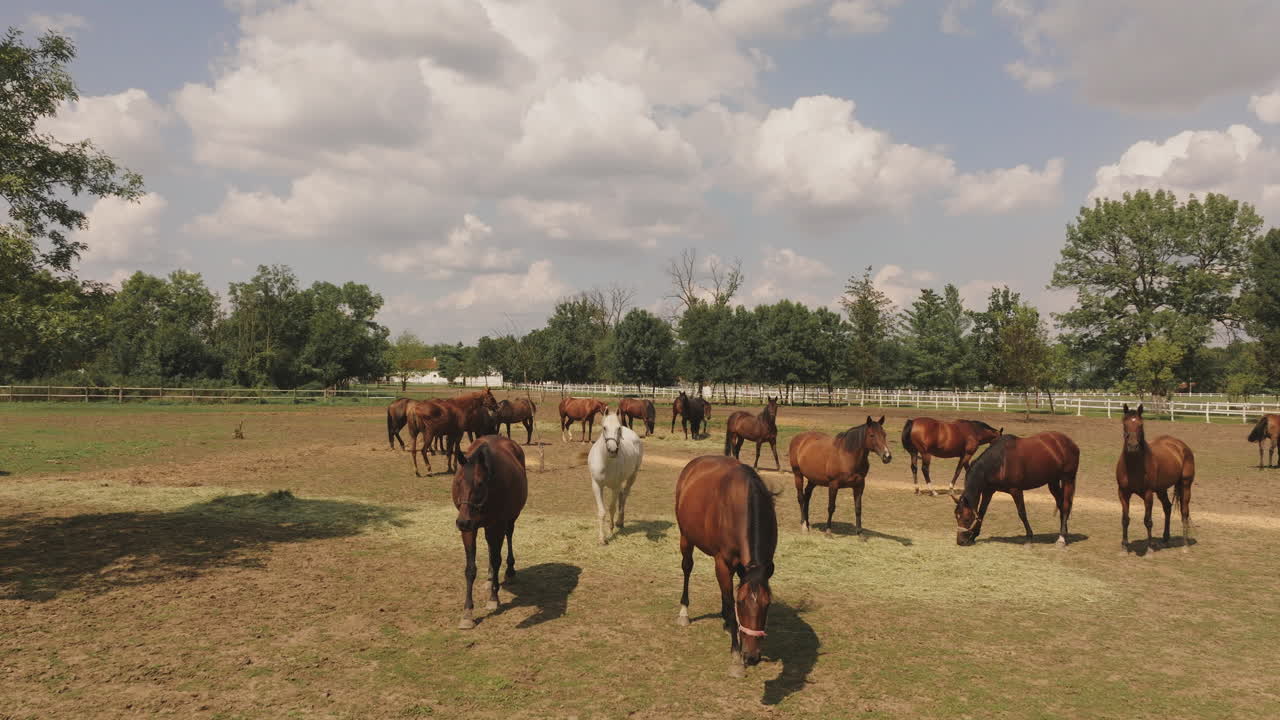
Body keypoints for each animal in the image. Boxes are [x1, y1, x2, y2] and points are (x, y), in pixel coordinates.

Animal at [452, 435, 528, 629]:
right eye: (458, 481)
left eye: (479, 484)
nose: (462, 522)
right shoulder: (470, 530)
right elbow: (470, 569)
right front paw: (467, 613)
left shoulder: (497, 525)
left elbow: (496, 559)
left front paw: (494, 598)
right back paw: (489, 577)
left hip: (510, 518)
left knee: (508, 537)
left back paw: (509, 571)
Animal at [588, 411, 644, 545]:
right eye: (604, 427)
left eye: (619, 428)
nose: (612, 450)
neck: (605, 462)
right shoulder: (596, 485)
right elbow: (602, 511)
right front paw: (602, 539)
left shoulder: (615, 486)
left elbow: (611, 508)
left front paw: (611, 530)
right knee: (622, 494)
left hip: (632, 476)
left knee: (625, 495)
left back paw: (620, 522)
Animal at [674, 455, 777, 678]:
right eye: (741, 603)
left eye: (767, 604)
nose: (752, 656)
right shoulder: (723, 562)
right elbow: (730, 605)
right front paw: (736, 658)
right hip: (686, 537)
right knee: (687, 567)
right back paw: (684, 612)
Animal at [1116, 404, 1195, 553]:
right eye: (1124, 424)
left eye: (1141, 424)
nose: (1133, 446)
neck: (1134, 466)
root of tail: (1181, 445)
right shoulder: (1123, 493)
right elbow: (1124, 519)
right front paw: (1124, 546)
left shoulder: (1148, 494)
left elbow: (1148, 521)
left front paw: (1149, 548)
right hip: (1161, 490)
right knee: (1167, 507)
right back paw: (1166, 538)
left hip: (1185, 485)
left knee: (1184, 512)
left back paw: (1185, 544)